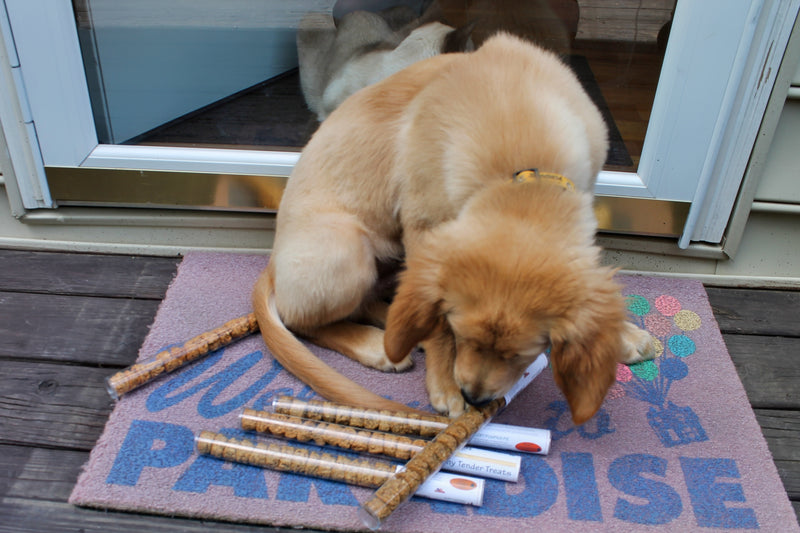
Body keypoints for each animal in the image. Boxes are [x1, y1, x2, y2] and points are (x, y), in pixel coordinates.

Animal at [253, 32, 652, 424]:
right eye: (464, 337)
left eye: (521, 354)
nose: (475, 399)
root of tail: (272, 263)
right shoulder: (422, 226)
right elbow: (437, 322)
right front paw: (444, 384)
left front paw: (623, 336)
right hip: (346, 249)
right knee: (303, 320)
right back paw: (377, 346)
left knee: (374, 302)